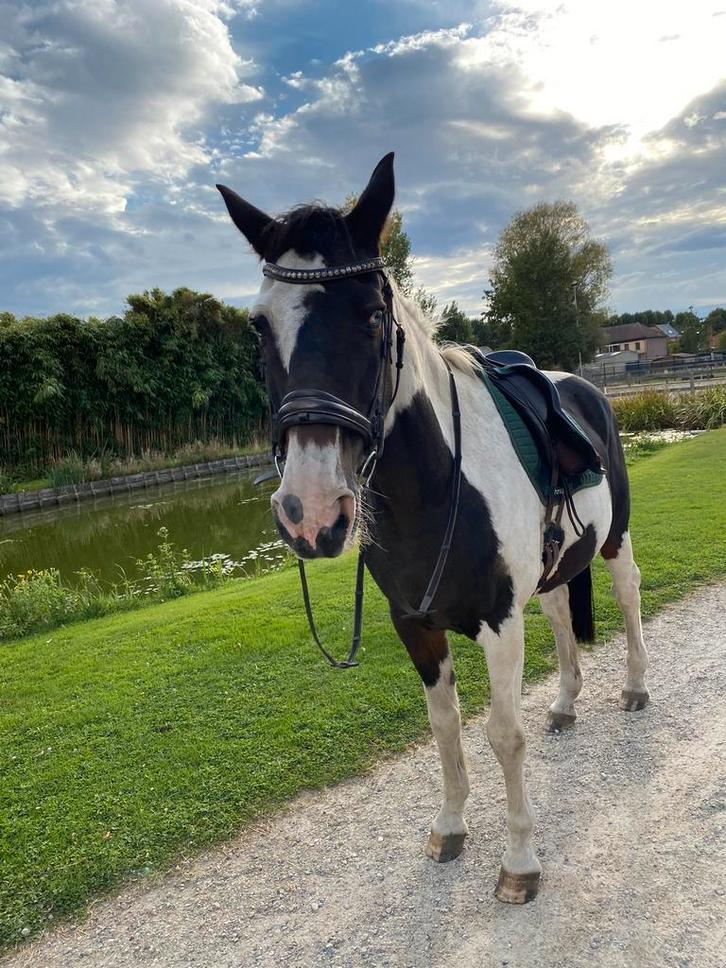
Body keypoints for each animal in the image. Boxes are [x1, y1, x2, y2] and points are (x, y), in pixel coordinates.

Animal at [216, 153, 649, 904]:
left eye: (370, 315)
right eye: (259, 327)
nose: (310, 509)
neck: (436, 485)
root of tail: (583, 386)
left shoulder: (499, 622)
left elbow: (502, 734)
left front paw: (519, 862)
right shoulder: (413, 624)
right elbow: (444, 727)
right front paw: (449, 827)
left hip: (615, 543)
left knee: (628, 597)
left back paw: (636, 687)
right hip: (551, 571)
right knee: (561, 614)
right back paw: (566, 703)